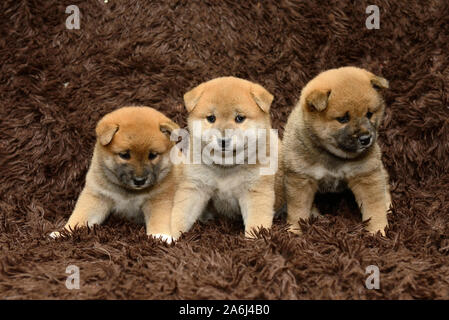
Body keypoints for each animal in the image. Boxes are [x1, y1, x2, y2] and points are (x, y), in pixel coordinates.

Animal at [50, 105, 178, 242]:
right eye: (124, 155)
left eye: (153, 155)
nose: (139, 181)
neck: (129, 192)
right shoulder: (97, 197)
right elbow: (80, 216)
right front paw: (63, 232)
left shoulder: (159, 199)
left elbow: (159, 219)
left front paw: (160, 236)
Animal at [170, 76, 282, 239]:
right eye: (211, 118)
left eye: (240, 118)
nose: (223, 141)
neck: (226, 166)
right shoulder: (195, 187)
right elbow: (180, 215)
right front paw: (168, 237)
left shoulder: (255, 191)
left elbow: (256, 222)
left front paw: (254, 241)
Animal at [284, 67, 392, 235]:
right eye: (343, 119)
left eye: (369, 114)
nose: (366, 138)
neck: (333, 155)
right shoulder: (301, 180)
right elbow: (298, 210)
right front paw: (294, 231)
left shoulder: (366, 175)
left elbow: (375, 208)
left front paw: (378, 231)